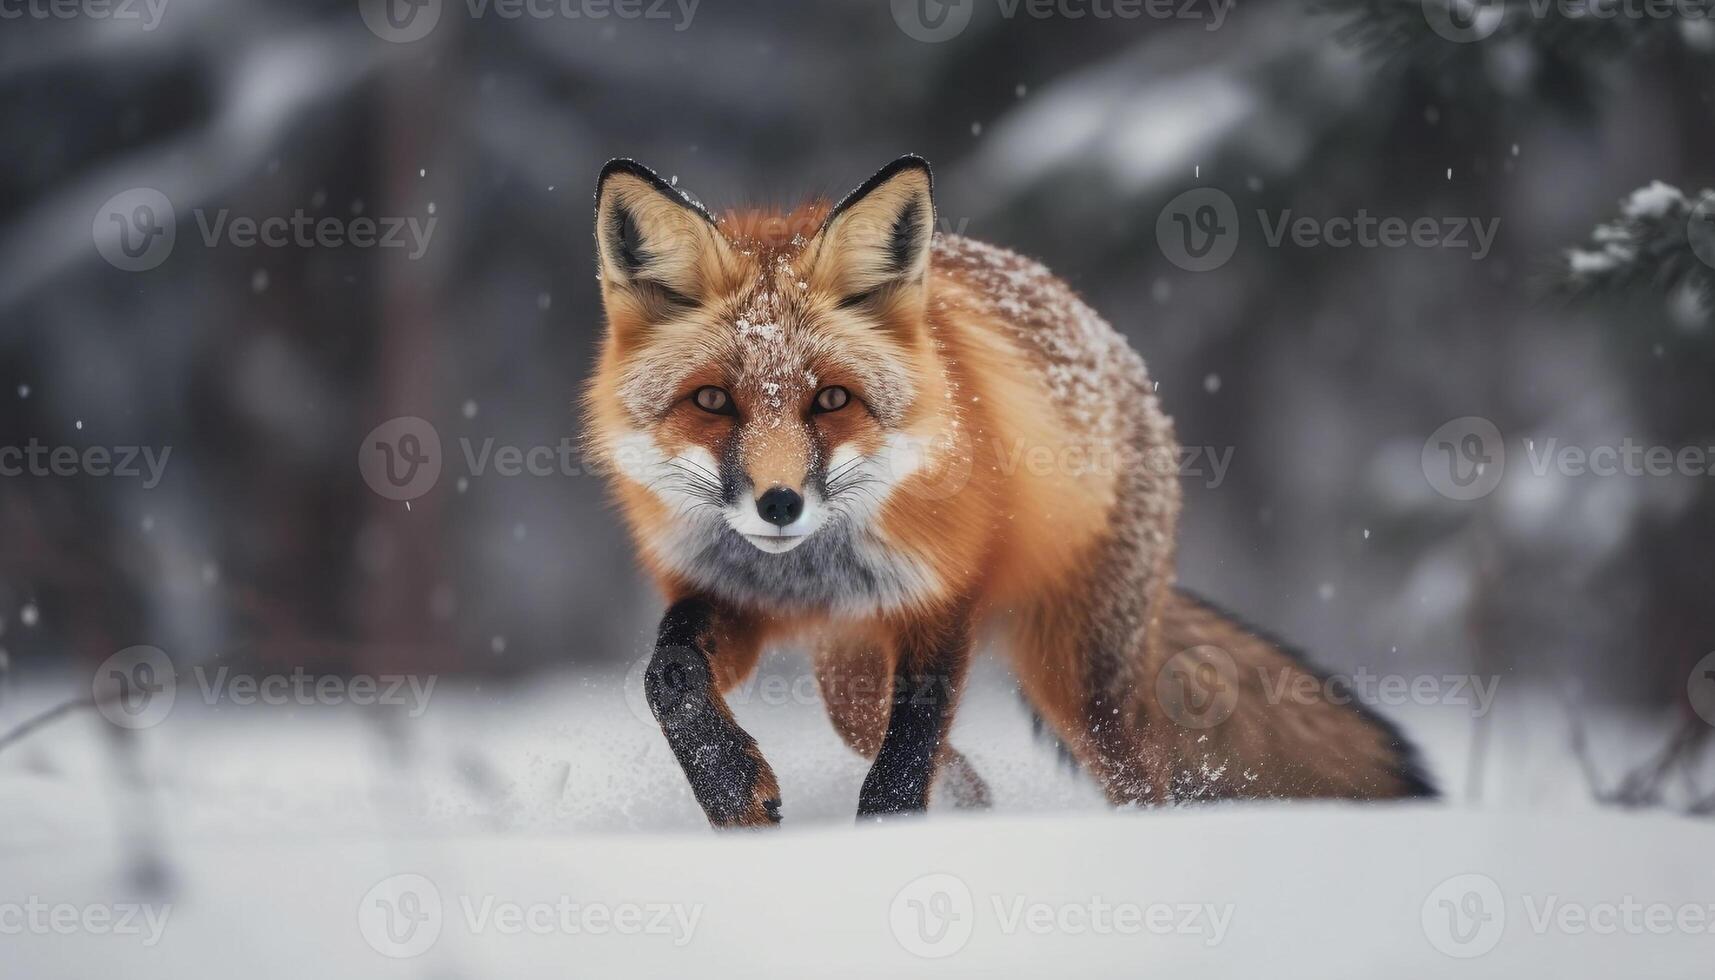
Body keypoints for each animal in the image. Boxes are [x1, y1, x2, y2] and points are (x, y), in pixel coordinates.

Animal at [586, 153, 1433, 827]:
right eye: (711, 401)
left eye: (830, 400)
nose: (779, 503)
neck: (807, 573)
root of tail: (1113, 345)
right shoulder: (725, 594)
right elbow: (668, 677)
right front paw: (731, 790)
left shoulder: (943, 602)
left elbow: (908, 753)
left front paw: (882, 835)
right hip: (851, 684)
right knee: (940, 759)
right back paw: (974, 805)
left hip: (1083, 688)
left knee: (1143, 780)